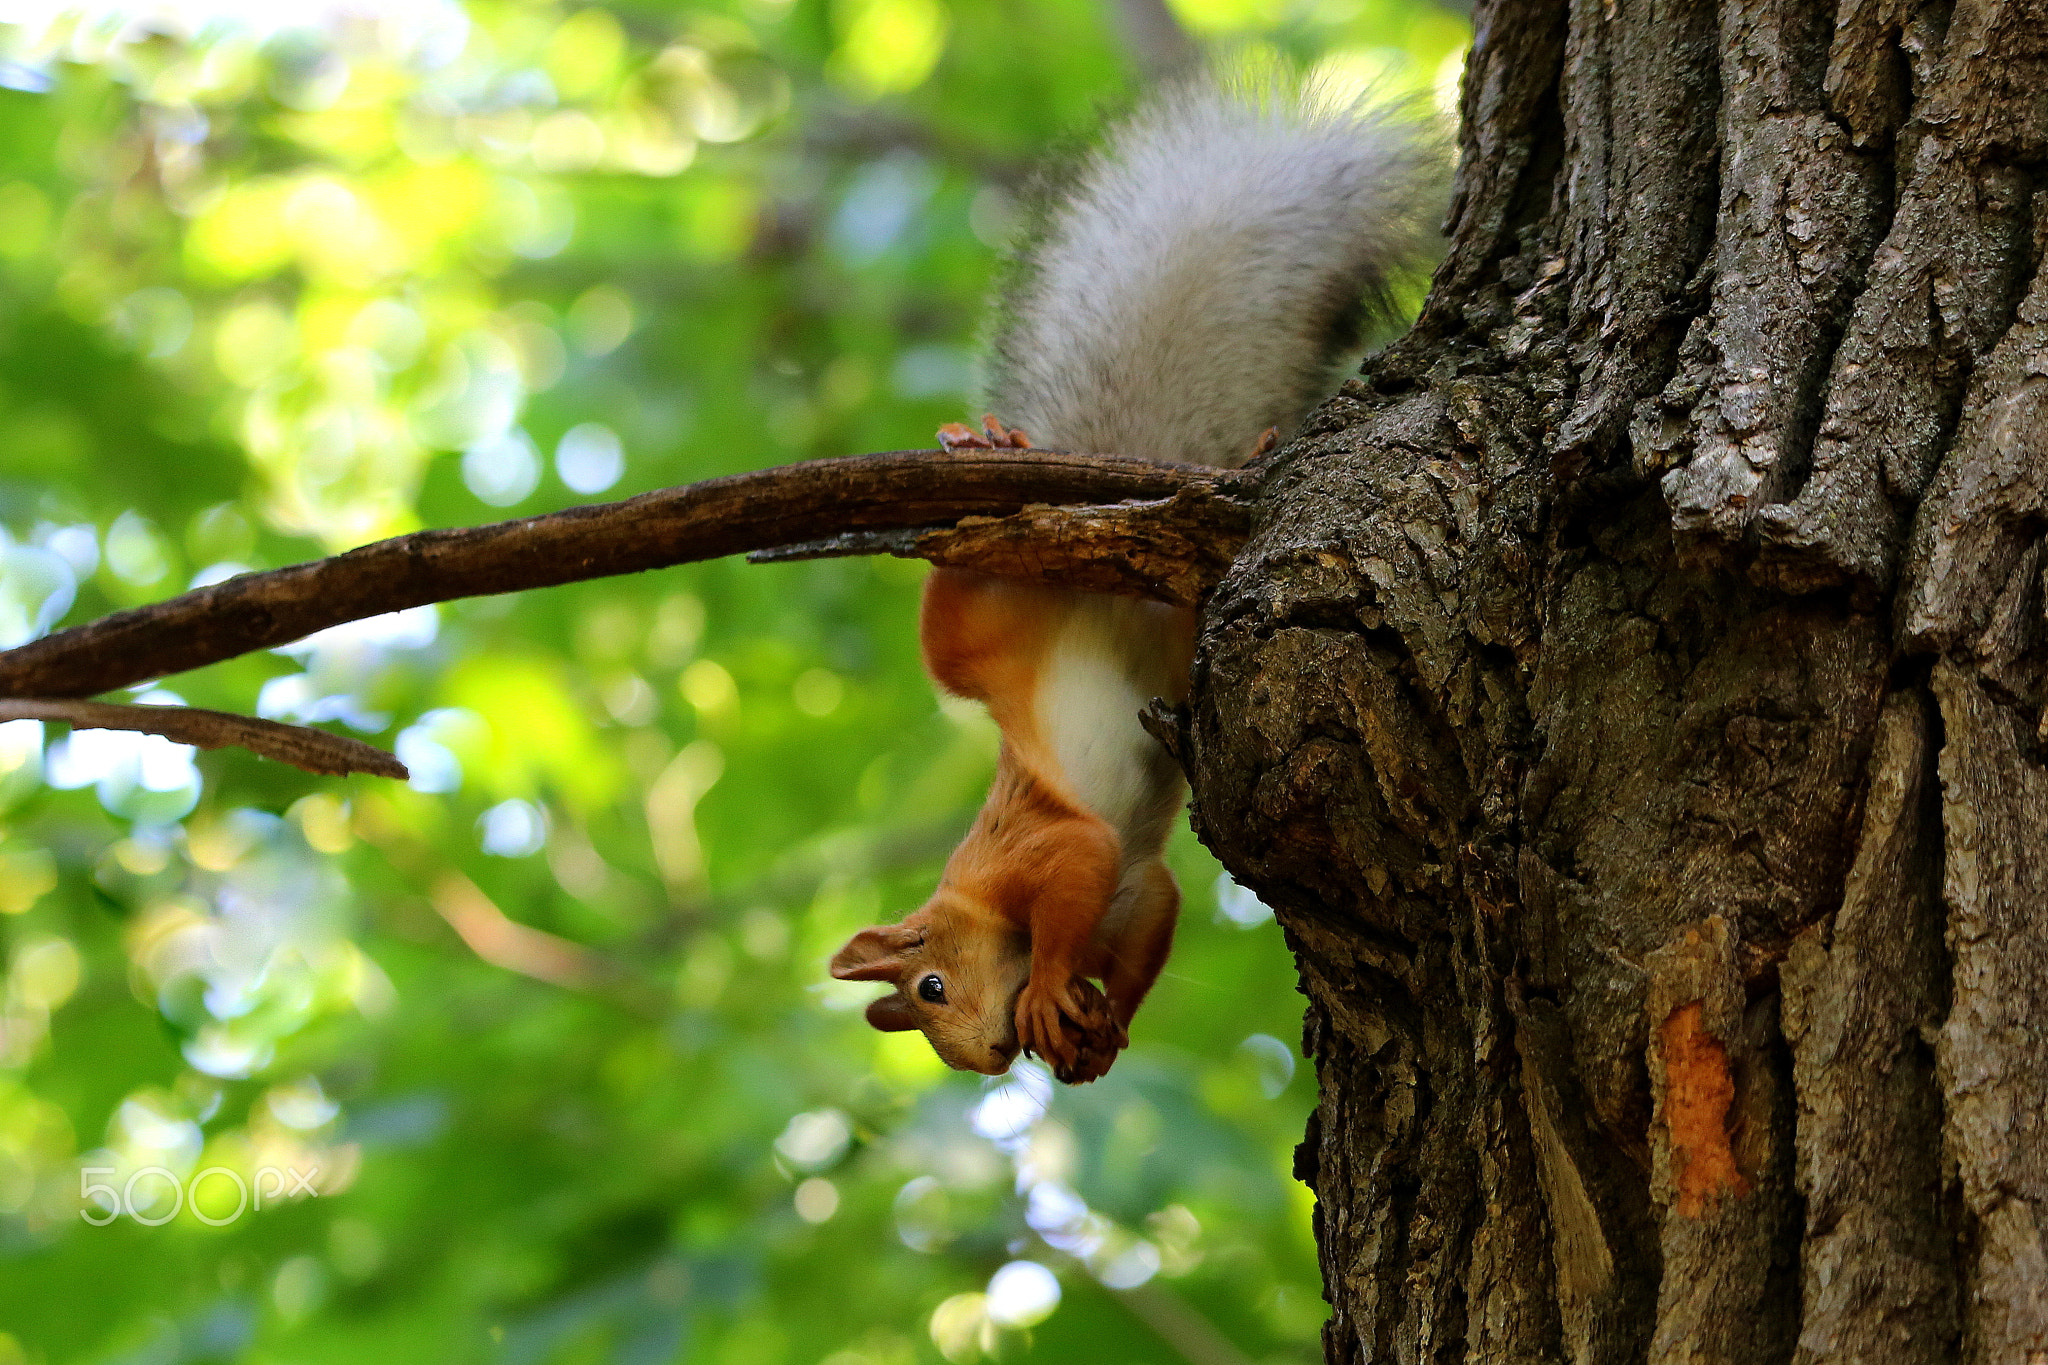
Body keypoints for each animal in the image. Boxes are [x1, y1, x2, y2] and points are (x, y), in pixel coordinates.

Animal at [827, 74, 1441, 1080]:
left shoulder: (1047, 850)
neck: (980, 906)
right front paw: (1098, 1028)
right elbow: (1155, 910)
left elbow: (1077, 858)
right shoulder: (1135, 891)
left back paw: (989, 454)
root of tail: (1090, 584)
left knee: (948, 612)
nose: (991, 1057)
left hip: (980, 636)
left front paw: (1046, 991)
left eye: (932, 987)